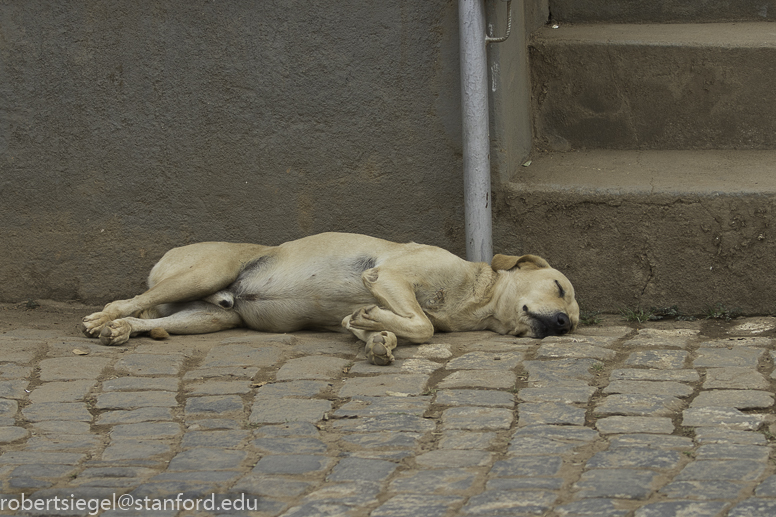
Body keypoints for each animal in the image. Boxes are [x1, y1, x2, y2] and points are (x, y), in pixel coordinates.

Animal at [82, 232, 580, 364]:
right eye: (559, 287)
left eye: (575, 320)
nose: (564, 325)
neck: (474, 296)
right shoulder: (387, 275)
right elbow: (423, 325)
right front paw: (375, 325)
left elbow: (391, 325)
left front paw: (375, 334)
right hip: (205, 273)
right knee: (126, 300)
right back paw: (102, 319)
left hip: (214, 317)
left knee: (149, 317)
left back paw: (123, 330)